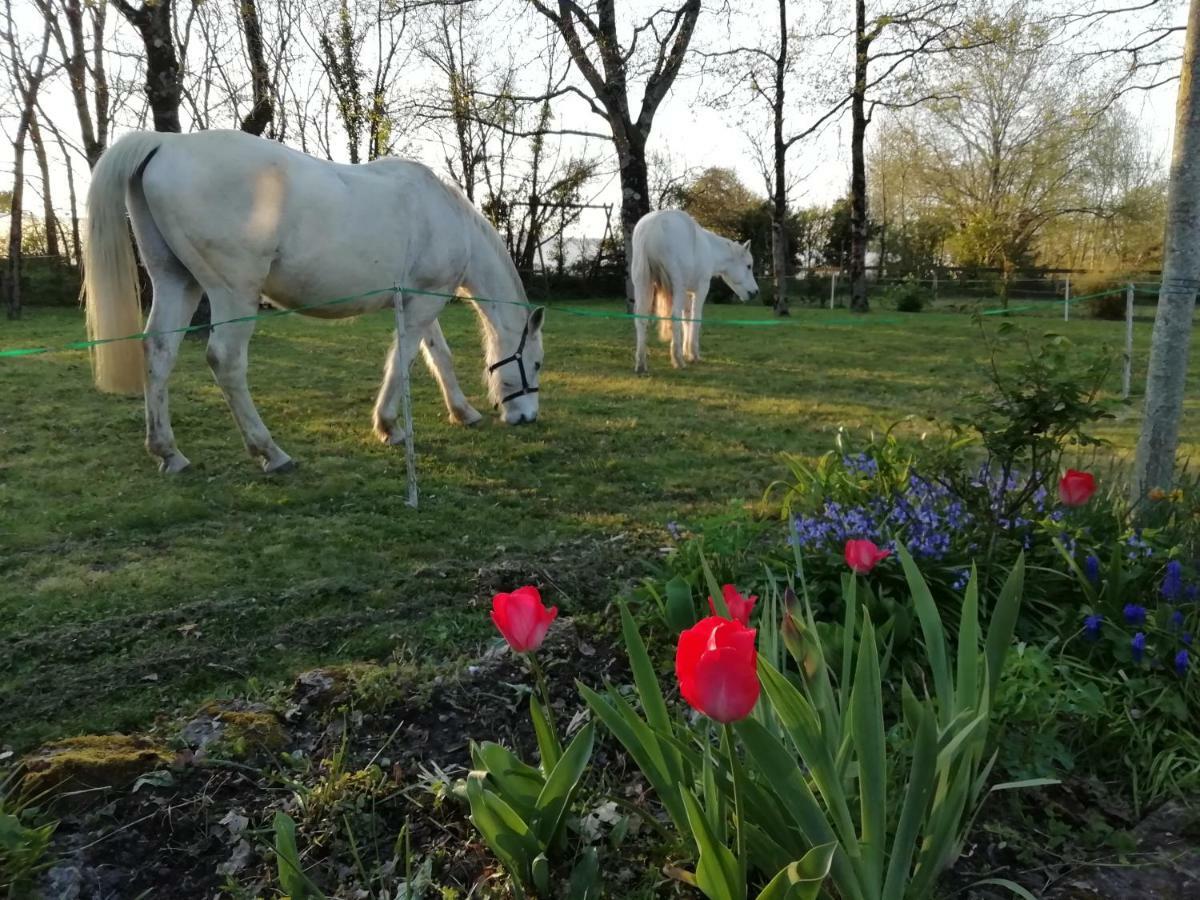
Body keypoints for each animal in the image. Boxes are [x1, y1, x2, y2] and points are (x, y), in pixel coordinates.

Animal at [78, 130, 540, 475]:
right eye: (536, 364)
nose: (527, 418)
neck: (447, 216)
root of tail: (165, 143)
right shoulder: (425, 302)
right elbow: (403, 360)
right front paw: (389, 427)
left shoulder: (419, 299)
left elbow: (438, 356)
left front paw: (463, 412)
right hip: (233, 293)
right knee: (225, 361)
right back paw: (270, 452)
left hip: (177, 282)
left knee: (158, 352)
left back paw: (168, 452)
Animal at [633, 210, 753, 372]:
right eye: (749, 266)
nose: (755, 292)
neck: (710, 249)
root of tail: (652, 226)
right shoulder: (701, 288)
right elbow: (696, 318)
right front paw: (693, 354)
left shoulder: (687, 293)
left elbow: (687, 318)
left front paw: (686, 351)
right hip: (677, 284)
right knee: (674, 316)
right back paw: (678, 360)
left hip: (643, 282)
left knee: (641, 318)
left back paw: (641, 364)